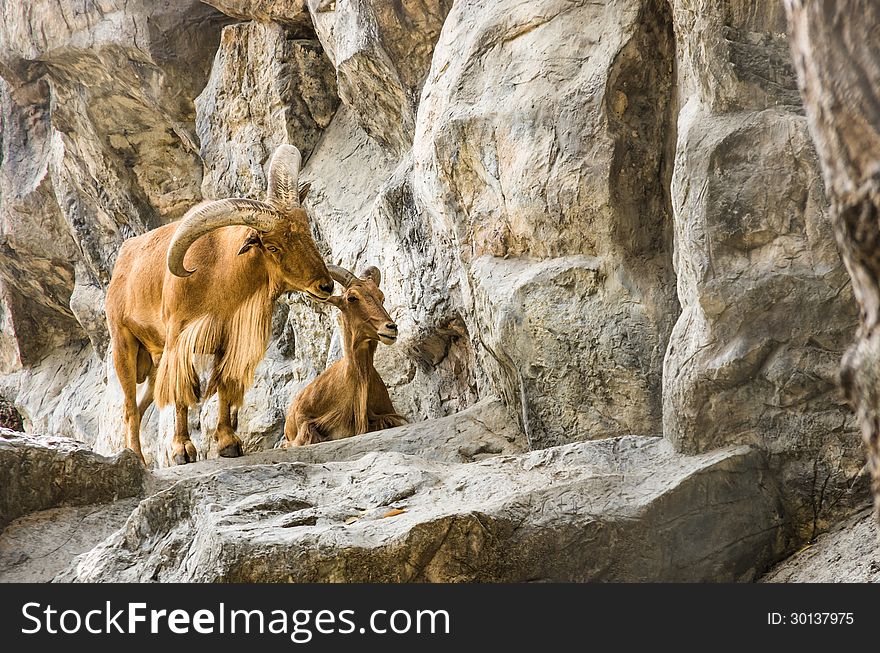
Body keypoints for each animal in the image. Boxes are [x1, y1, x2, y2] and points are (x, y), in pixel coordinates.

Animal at [104, 146, 336, 466]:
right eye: (273, 247)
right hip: (123, 344)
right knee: (129, 407)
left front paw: (228, 444)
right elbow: (182, 393)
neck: (219, 271)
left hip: (154, 361)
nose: (325, 286)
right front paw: (182, 450)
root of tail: (121, 264)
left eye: (307, 230)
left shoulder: (228, 340)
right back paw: (136, 456)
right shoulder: (179, 338)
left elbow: (225, 385)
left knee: (139, 407)